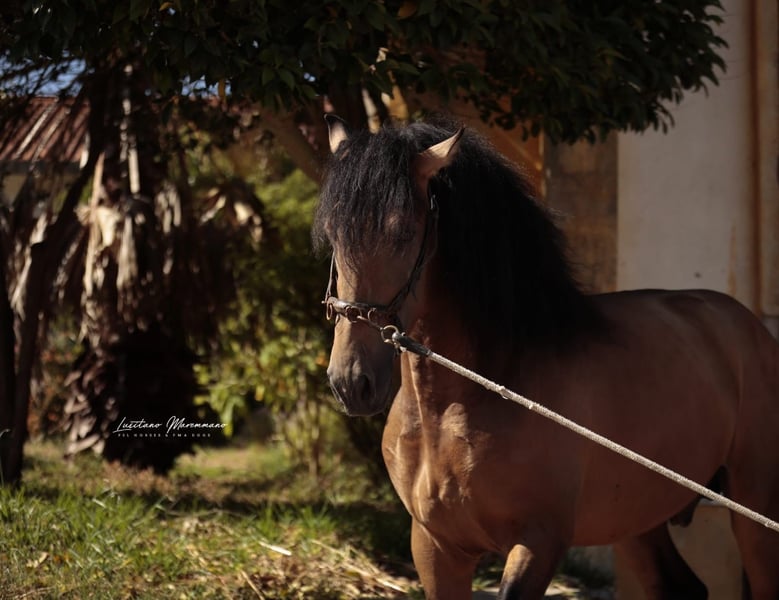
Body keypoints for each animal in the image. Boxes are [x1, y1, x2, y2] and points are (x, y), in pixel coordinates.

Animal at [312, 115, 779, 600]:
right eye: (333, 236)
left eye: (402, 232)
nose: (352, 382)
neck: (456, 405)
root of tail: (746, 325)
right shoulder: (434, 546)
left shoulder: (539, 542)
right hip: (636, 520)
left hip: (755, 509)